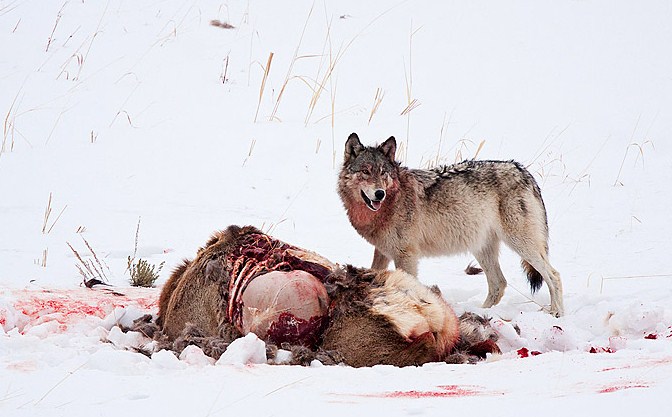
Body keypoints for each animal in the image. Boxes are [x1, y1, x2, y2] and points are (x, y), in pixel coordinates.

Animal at [338, 133, 564, 316]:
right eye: (366, 171)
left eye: (383, 172)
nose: (379, 194)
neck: (390, 204)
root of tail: (524, 171)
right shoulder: (383, 251)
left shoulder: (406, 254)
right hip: (482, 249)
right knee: (499, 284)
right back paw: (481, 312)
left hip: (520, 244)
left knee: (554, 275)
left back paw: (556, 313)